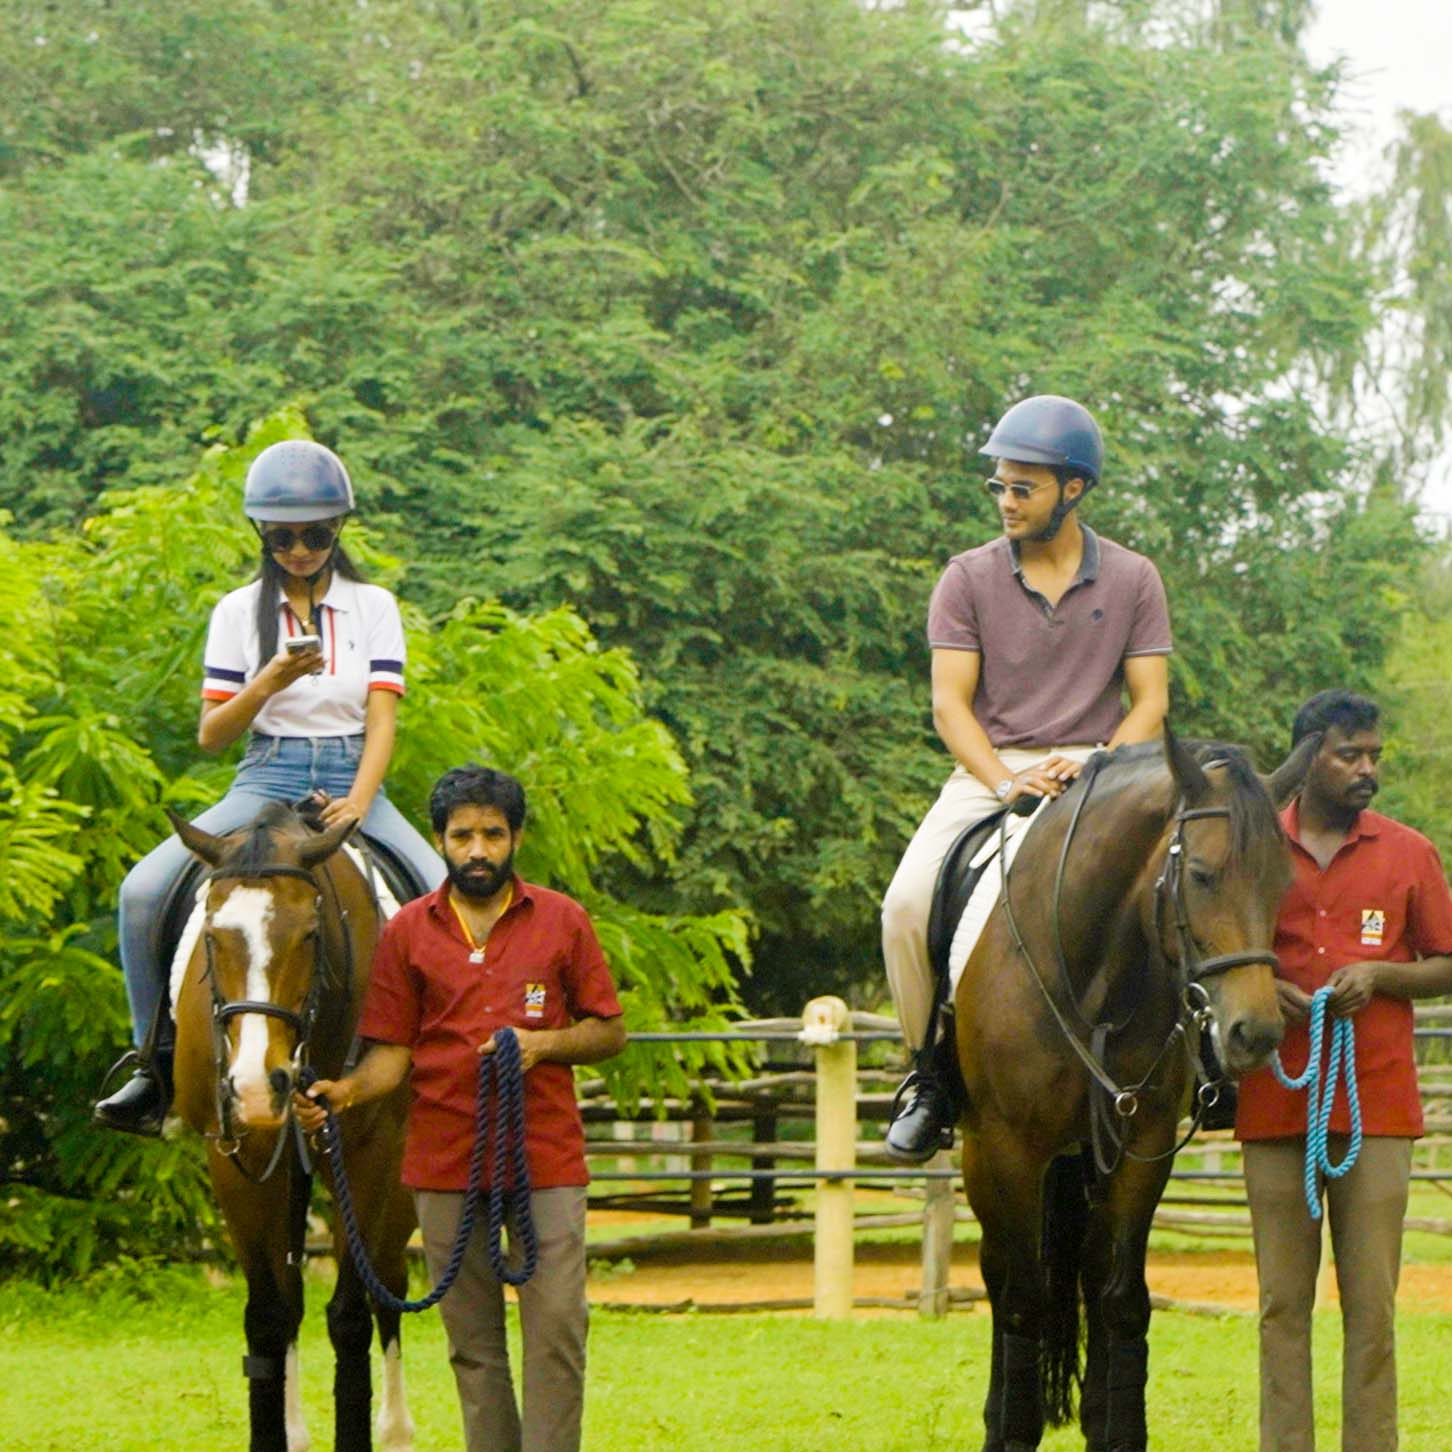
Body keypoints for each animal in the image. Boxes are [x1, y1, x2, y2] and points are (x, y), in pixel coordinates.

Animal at [168, 802, 416, 1452]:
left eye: (309, 933)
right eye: (212, 936)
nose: (258, 1086)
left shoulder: (369, 1153)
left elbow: (352, 1316)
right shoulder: (236, 1159)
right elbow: (268, 1317)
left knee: (390, 1281)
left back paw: (396, 1429)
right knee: (295, 1297)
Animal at [953, 727, 1316, 1452]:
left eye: (1282, 881)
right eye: (1200, 875)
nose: (1255, 1032)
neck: (1090, 972)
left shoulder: (1139, 1146)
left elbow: (1120, 1299)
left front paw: (1115, 1430)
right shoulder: (1009, 1151)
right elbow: (1024, 1301)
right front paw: (1013, 1429)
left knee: (1088, 1276)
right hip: (983, 1158)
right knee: (1001, 1277)